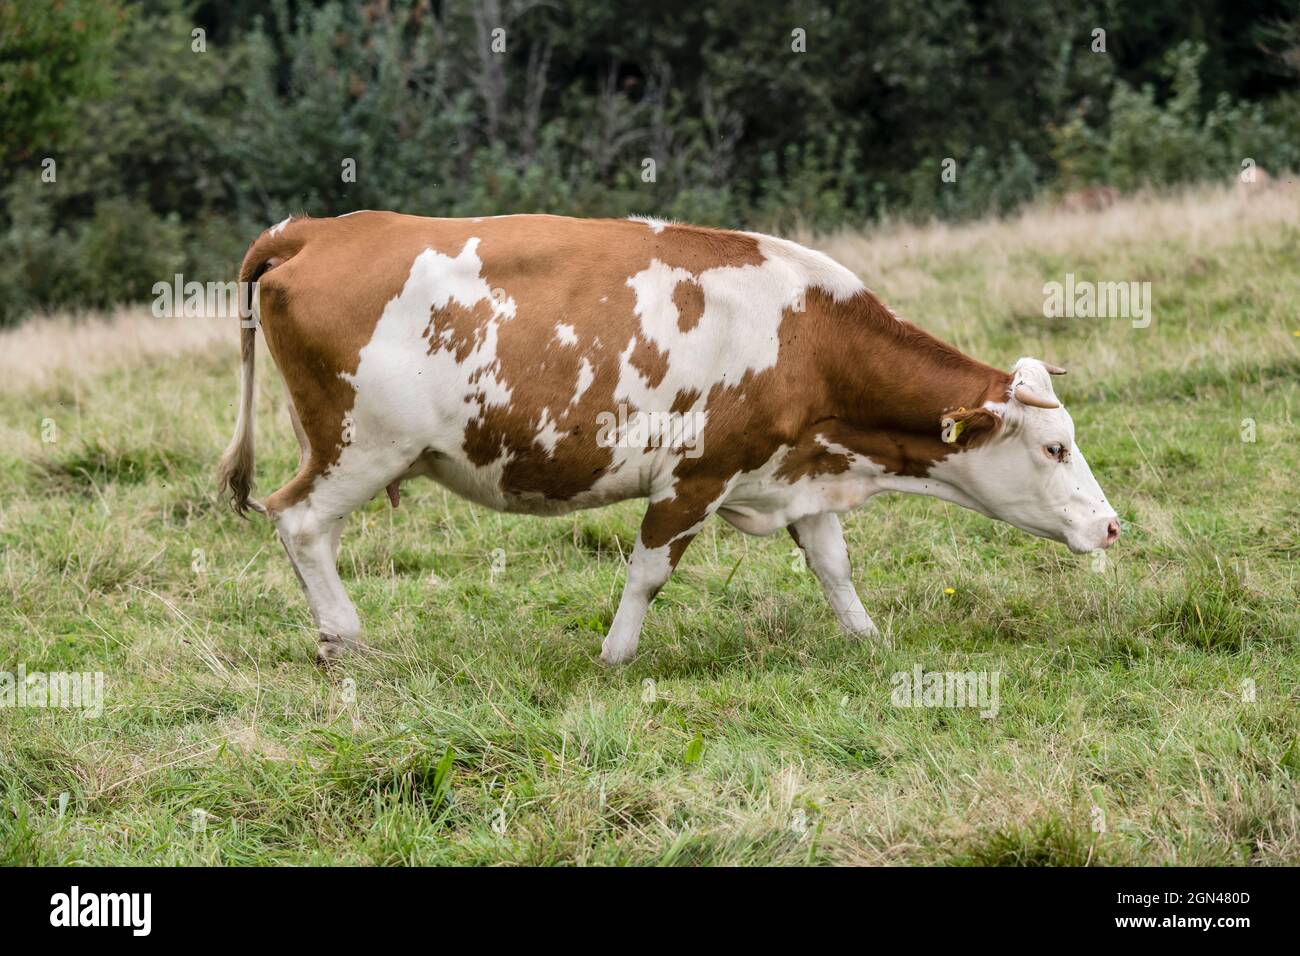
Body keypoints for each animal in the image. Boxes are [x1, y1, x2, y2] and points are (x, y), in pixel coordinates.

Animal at [217, 213, 1120, 665]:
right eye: (1054, 448)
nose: (1112, 525)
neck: (811, 335)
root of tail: (322, 226)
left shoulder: (796, 471)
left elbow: (832, 563)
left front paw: (867, 638)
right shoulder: (697, 475)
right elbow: (649, 572)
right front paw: (615, 658)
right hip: (360, 444)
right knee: (300, 522)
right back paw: (345, 638)